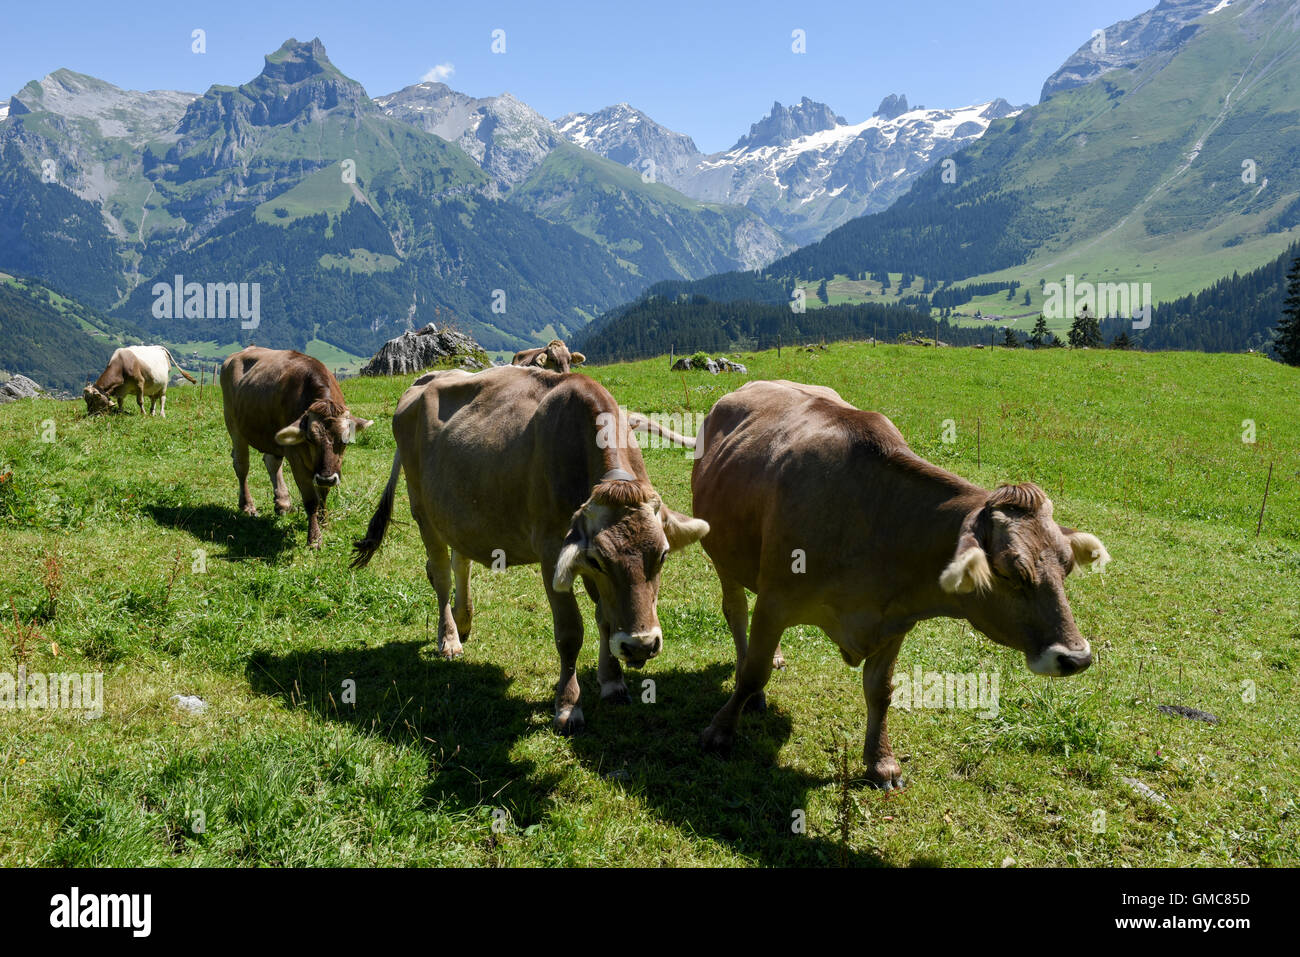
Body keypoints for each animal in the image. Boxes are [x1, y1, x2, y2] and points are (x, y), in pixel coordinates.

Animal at [220, 347, 373, 548]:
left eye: (345, 440)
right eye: (309, 439)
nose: (326, 478)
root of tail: (242, 352)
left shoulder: (327, 468)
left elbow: (323, 493)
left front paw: (324, 521)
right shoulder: (297, 458)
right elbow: (311, 500)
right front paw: (314, 538)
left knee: (271, 462)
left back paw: (282, 502)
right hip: (234, 425)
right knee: (241, 466)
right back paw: (247, 505)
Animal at [350, 365, 709, 734]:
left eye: (662, 555)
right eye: (598, 560)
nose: (640, 645)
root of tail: (426, 378)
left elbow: (605, 618)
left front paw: (612, 682)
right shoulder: (555, 553)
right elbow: (570, 632)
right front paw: (568, 707)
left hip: (457, 511)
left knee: (460, 561)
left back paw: (463, 621)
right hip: (422, 509)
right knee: (440, 576)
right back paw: (449, 638)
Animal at [691, 380, 1111, 788]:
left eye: (1066, 566)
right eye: (1010, 571)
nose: (1076, 658)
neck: (878, 519)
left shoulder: (894, 620)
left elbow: (880, 691)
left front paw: (881, 763)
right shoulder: (776, 601)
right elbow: (752, 674)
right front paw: (720, 731)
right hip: (724, 557)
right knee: (736, 614)